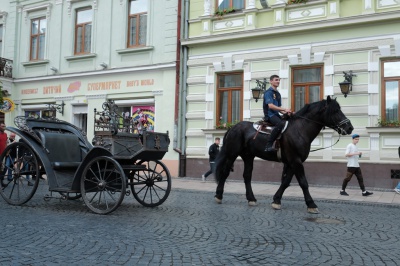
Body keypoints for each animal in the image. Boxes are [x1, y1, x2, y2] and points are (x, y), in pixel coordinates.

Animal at [214, 96, 354, 213]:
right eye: (335, 111)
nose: (350, 128)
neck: (300, 129)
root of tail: (232, 128)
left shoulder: (293, 162)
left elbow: (286, 182)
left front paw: (276, 200)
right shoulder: (295, 161)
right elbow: (303, 182)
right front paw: (311, 204)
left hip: (248, 156)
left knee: (247, 176)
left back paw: (251, 198)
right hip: (232, 154)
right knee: (225, 173)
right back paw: (219, 195)